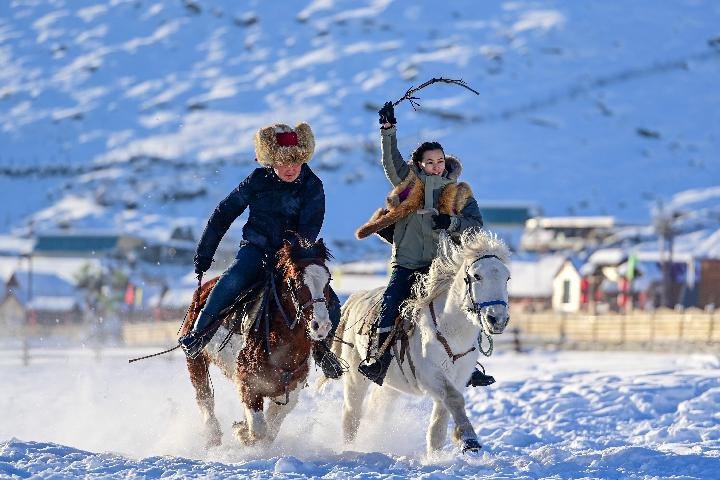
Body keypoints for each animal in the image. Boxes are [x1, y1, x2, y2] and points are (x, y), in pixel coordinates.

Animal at [183, 238, 334, 448]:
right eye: (296, 281)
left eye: (328, 280)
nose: (321, 325)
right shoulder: (248, 383)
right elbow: (260, 428)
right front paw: (242, 432)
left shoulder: (291, 389)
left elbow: (271, 427)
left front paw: (243, 430)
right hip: (196, 361)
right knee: (204, 397)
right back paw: (213, 434)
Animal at [332, 231, 512, 456]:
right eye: (477, 276)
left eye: (507, 277)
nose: (497, 319)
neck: (451, 330)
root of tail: (356, 298)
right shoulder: (430, 376)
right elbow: (454, 399)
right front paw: (469, 439)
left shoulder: (457, 378)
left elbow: (438, 427)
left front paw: (437, 456)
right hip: (355, 378)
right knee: (351, 413)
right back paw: (350, 447)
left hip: (390, 386)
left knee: (376, 411)